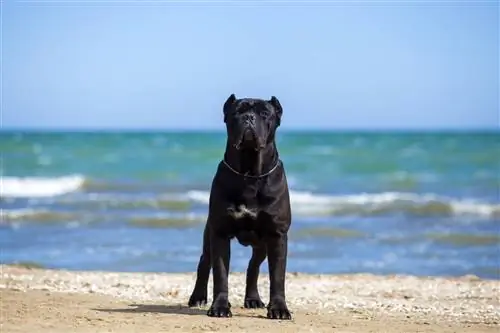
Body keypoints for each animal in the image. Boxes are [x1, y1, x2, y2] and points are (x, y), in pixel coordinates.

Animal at [190, 93, 292, 320]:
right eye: (237, 112)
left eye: (264, 113)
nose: (249, 118)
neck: (250, 174)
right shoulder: (219, 233)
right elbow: (220, 274)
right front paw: (219, 307)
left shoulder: (277, 235)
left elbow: (277, 277)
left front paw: (279, 309)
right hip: (209, 236)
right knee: (204, 263)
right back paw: (197, 297)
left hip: (262, 245)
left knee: (253, 267)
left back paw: (253, 299)